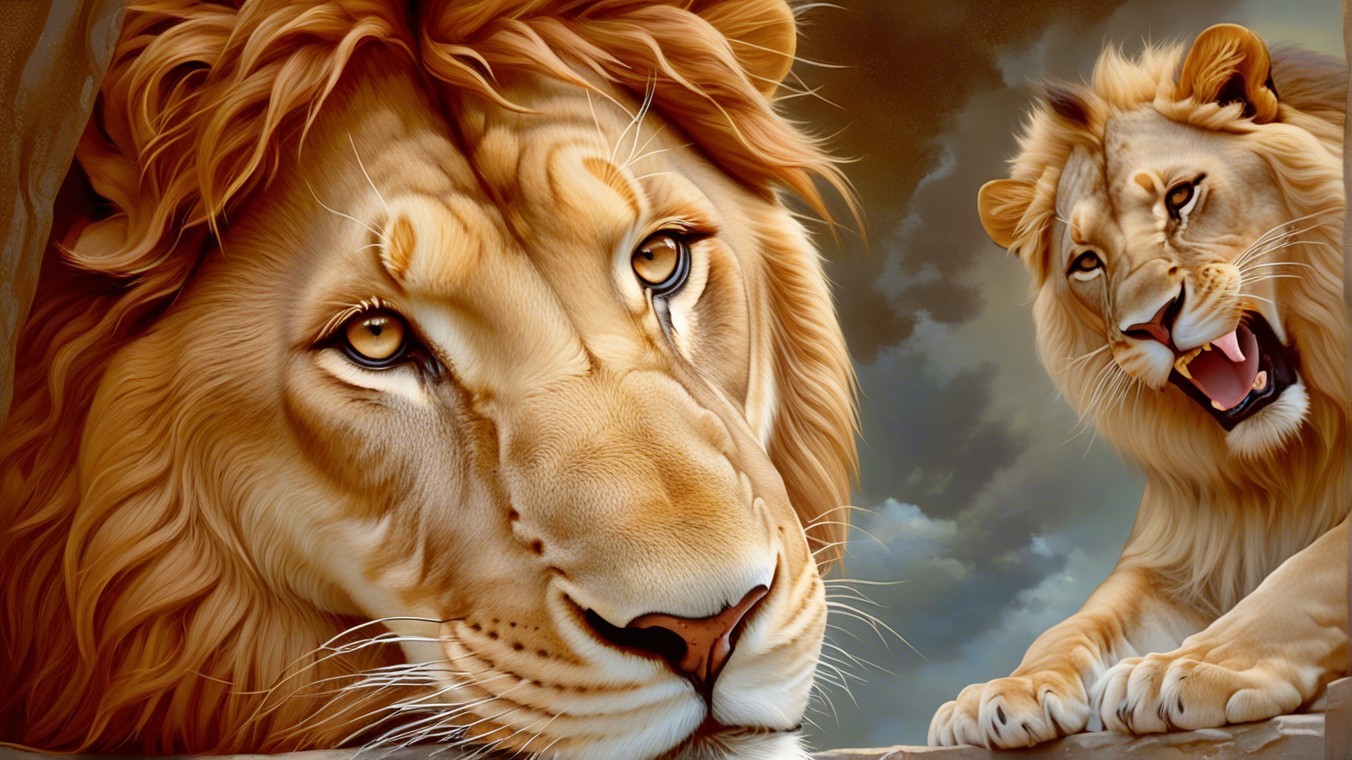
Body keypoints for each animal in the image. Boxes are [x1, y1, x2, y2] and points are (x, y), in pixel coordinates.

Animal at [929, 24, 1349, 749]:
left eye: (1180, 197)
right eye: (1086, 262)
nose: (1150, 322)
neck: (1290, 460)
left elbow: (1308, 575)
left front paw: (1193, 666)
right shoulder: (1182, 556)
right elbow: (1083, 619)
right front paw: (1004, 692)